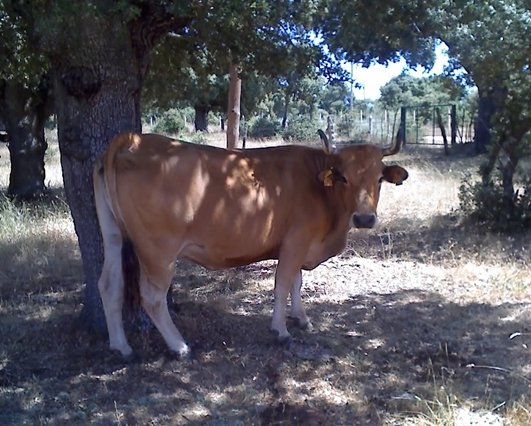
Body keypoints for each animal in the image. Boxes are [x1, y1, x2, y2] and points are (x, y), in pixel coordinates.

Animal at [92, 131, 408, 360]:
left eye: (379, 178)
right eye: (343, 177)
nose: (365, 218)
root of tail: (133, 139)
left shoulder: (299, 245)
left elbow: (297, 282)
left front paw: (302, 319)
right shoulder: (296, 241)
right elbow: (283, 284)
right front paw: (281, 330)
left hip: (113, 235)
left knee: (109, 285)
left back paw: (121, 347)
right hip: (159, 251)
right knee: (153, 297)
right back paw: (179, 346)